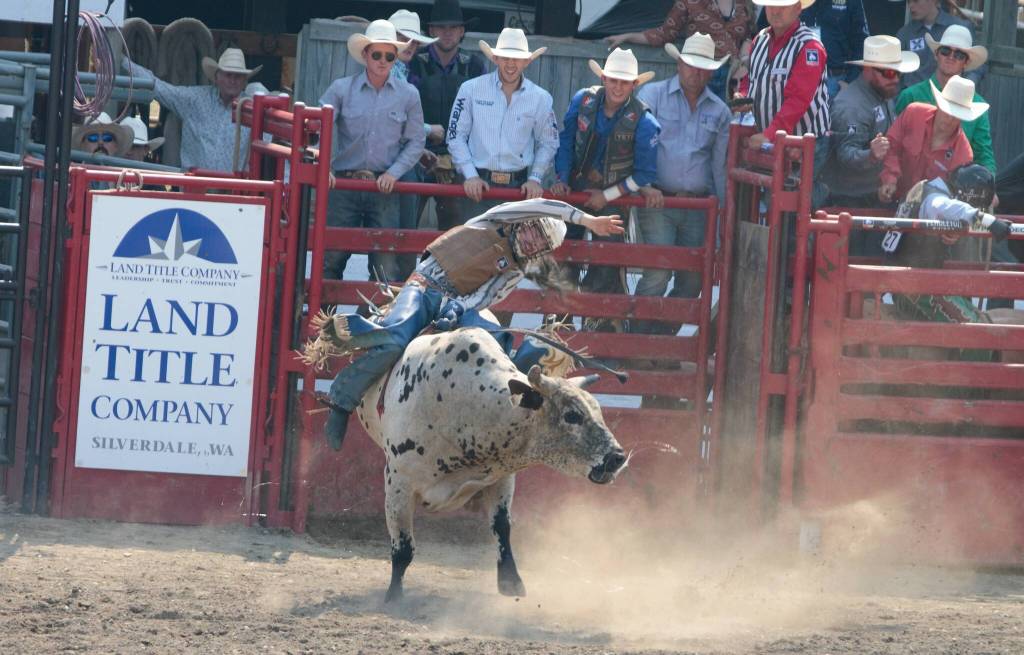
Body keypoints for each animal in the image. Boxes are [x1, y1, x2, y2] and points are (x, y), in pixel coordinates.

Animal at [351, 327, 626, 602]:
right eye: (572, 415)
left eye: (598, 410)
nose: (617, 457)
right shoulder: (399, 484)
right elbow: (403, 547)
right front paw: (394, 595)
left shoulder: (501, 477)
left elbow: (502, 527)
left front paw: (511, 582)